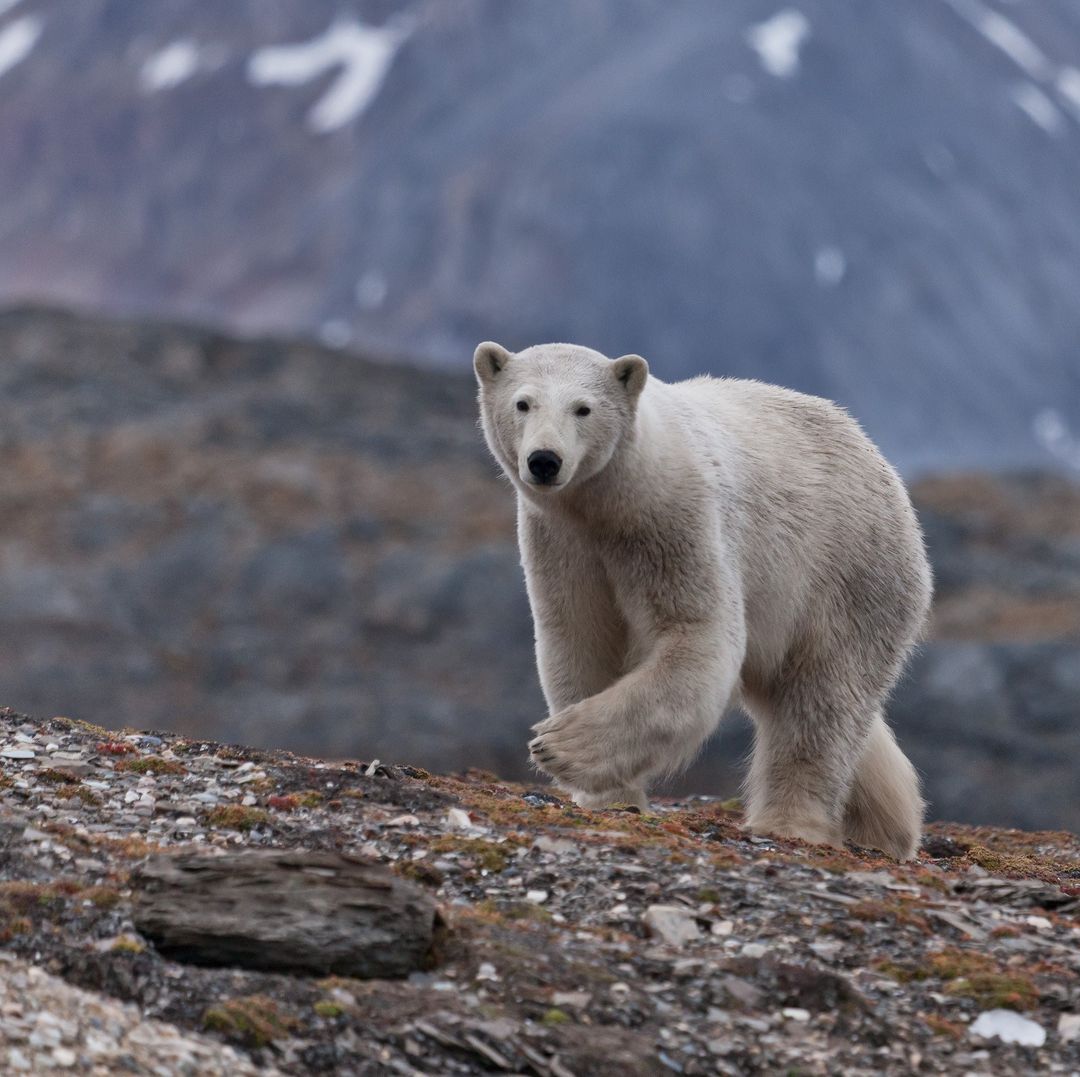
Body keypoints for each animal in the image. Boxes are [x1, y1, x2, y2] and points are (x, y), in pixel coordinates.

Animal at [473, 340, 932, 860]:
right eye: (523, 403)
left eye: (583, 408)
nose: (544, 460)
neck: (613, 500)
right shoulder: (562, 541)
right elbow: (579, 641)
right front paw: (609, 797)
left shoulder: (677, 520)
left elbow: (697, 634)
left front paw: (557, 745)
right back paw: (888, 825)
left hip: (846, 573)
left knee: (823, 700)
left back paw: (792, 822)